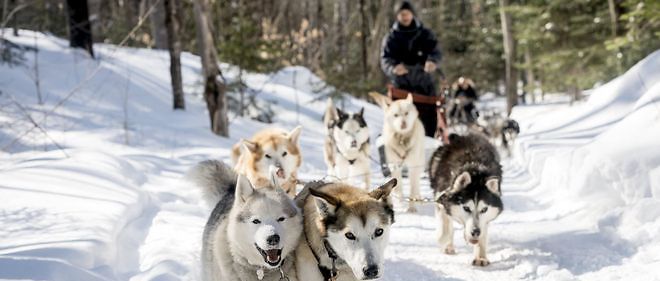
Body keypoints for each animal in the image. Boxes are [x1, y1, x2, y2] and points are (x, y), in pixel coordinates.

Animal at [426, 133, 502, 264]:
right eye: (466, 208)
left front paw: (480, 257)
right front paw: (445, 242)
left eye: (484, 209)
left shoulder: (484, 220)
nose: (475, 232)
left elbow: (482, 233)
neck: (475, 170)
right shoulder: (441, 200)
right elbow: (445, 230)